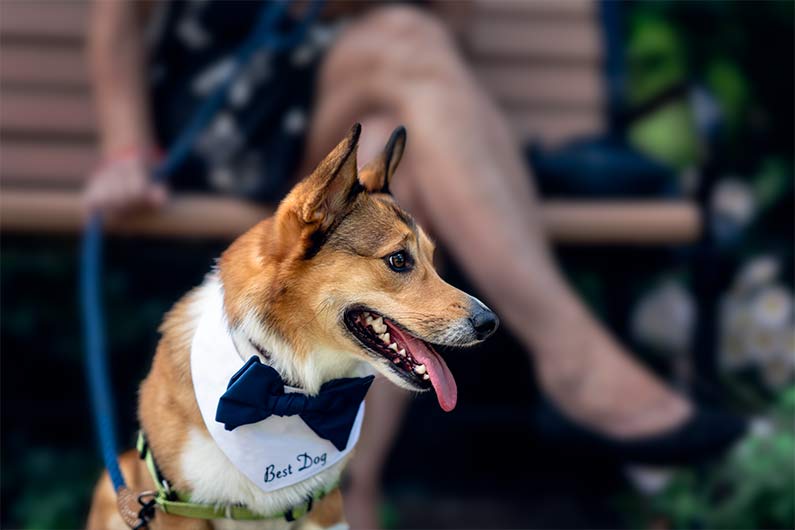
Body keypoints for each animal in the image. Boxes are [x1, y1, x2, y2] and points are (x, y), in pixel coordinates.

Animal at [87, 125, 498, 528]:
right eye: (398, 260)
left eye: (432, 258)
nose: (489, 323)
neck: (290, 387)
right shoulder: (178, 507)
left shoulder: (326, 509)